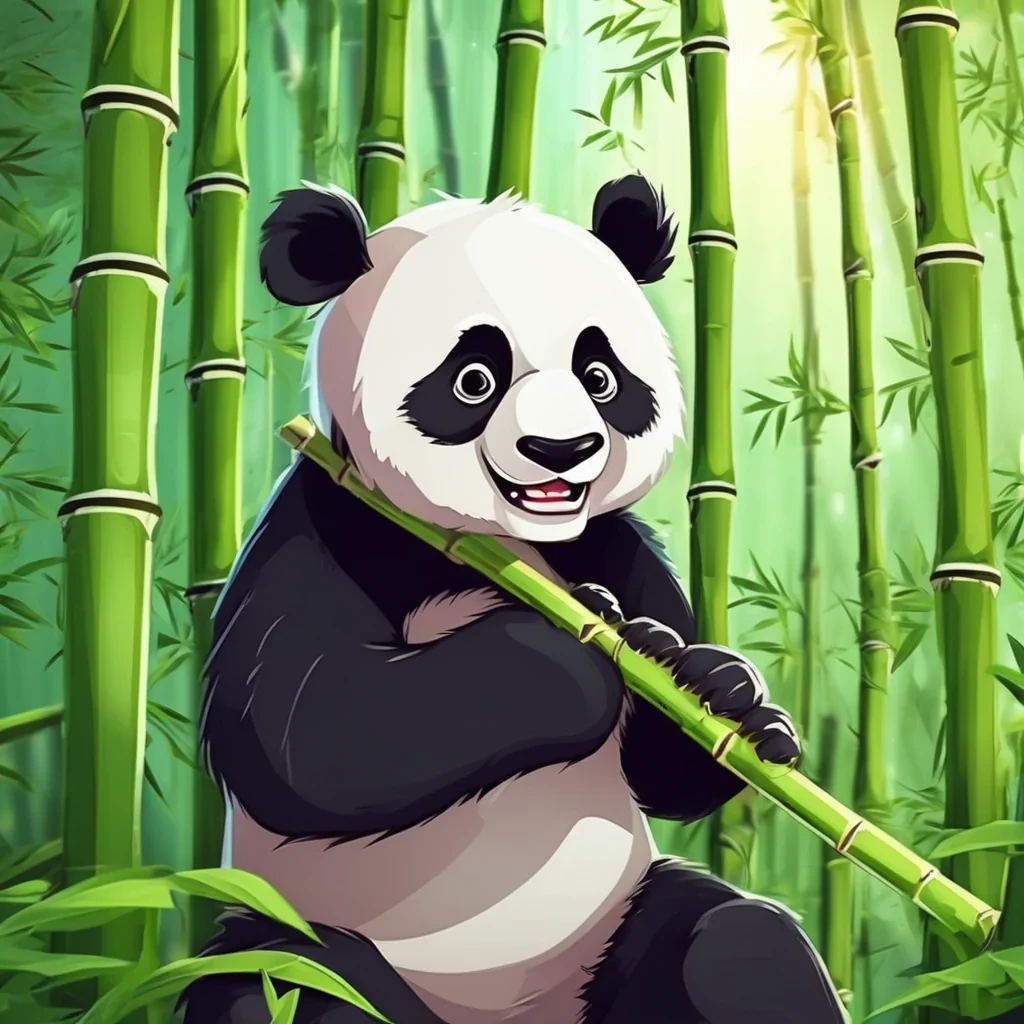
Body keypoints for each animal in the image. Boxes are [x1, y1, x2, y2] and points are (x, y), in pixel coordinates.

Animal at [181, 175, 847, 1024]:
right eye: (474, 379)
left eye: (600, 378)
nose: (562, 451)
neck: (504, 546)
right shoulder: (325, 522)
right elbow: (312, 734)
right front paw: (573, 660)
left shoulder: (615, 545)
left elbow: (672, 774)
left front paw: (717, 686)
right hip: (305, 941)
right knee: (288, 986)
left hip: (618, 933)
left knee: (738, 941)